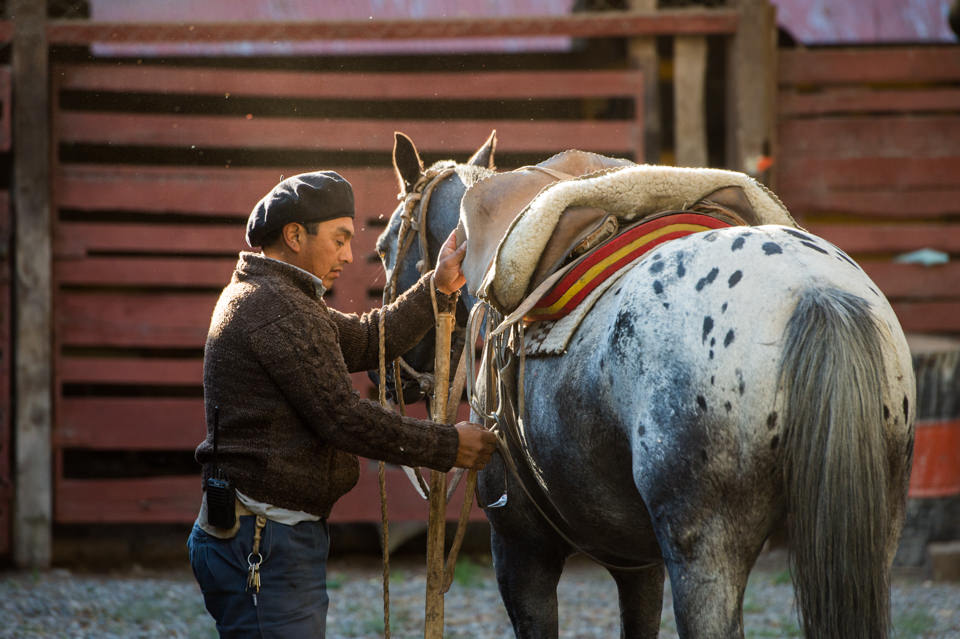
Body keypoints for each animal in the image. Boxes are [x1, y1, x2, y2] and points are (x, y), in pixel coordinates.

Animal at [374, 131, 916, 639]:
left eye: (383, 247)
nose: (386, 376)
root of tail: (815, 294)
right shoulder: (638, 561)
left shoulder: (520, 550)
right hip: (876, 532)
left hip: (706, 554)